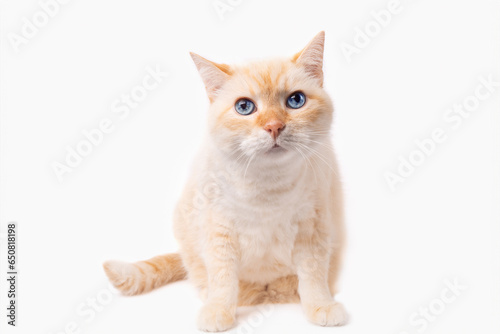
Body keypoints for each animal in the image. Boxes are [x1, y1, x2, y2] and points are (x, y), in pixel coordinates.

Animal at [104, 32, 348, 332]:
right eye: (244, 107)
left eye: (296, 101)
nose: (274, 126)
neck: (269, 185)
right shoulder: (218, 232)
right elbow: (222, 279)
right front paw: (218, 310)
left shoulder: (314, 231)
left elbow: (313, 276)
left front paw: (320, 306)